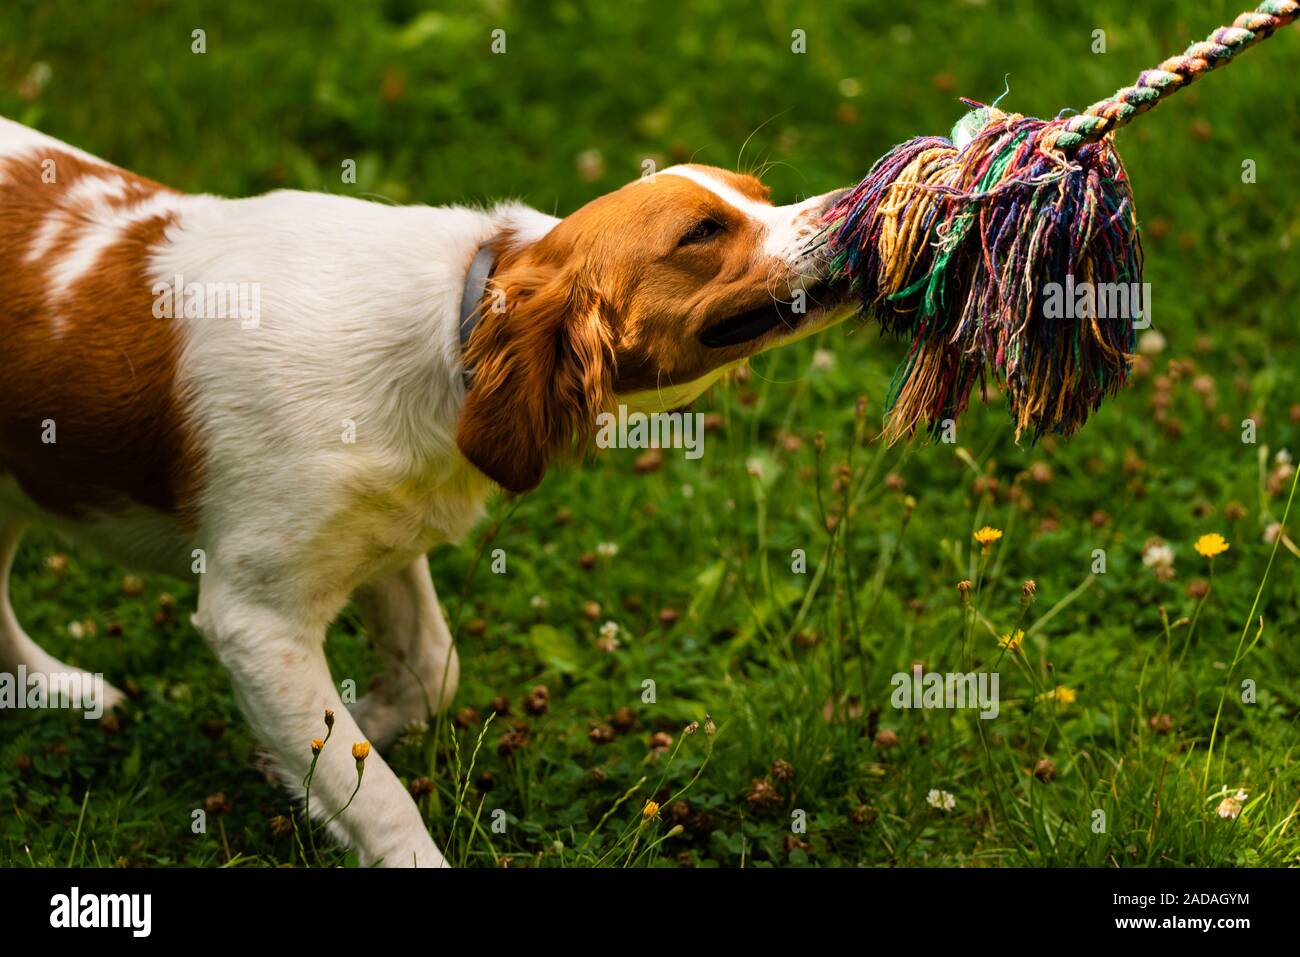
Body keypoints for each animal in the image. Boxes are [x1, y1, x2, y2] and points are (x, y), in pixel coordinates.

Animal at [0, 115, 852, 863]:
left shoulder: (383, 536)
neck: (451, 341)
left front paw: (334, 734)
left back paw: (61, 692)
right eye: (701, 233)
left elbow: (431, 670)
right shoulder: (255, 618)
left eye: (759, 192)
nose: (853, 203)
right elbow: (377, 793)